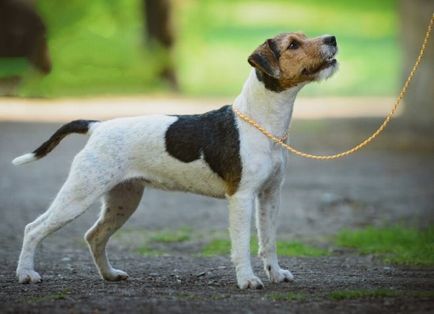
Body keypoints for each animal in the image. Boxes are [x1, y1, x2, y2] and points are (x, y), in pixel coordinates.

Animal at [12, 32, 340, 290]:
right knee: (34, 229)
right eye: (293, 44)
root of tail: (97, 126)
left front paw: (276, 274)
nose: (332, 39)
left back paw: (110, 275)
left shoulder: (270, 195)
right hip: (78, 195)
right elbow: (242, 245)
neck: (261, 121)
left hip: (123, 199)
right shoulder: (242, 197)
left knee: (94, 236)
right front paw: (247, 280)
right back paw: (26, 274)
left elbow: (268, 241)